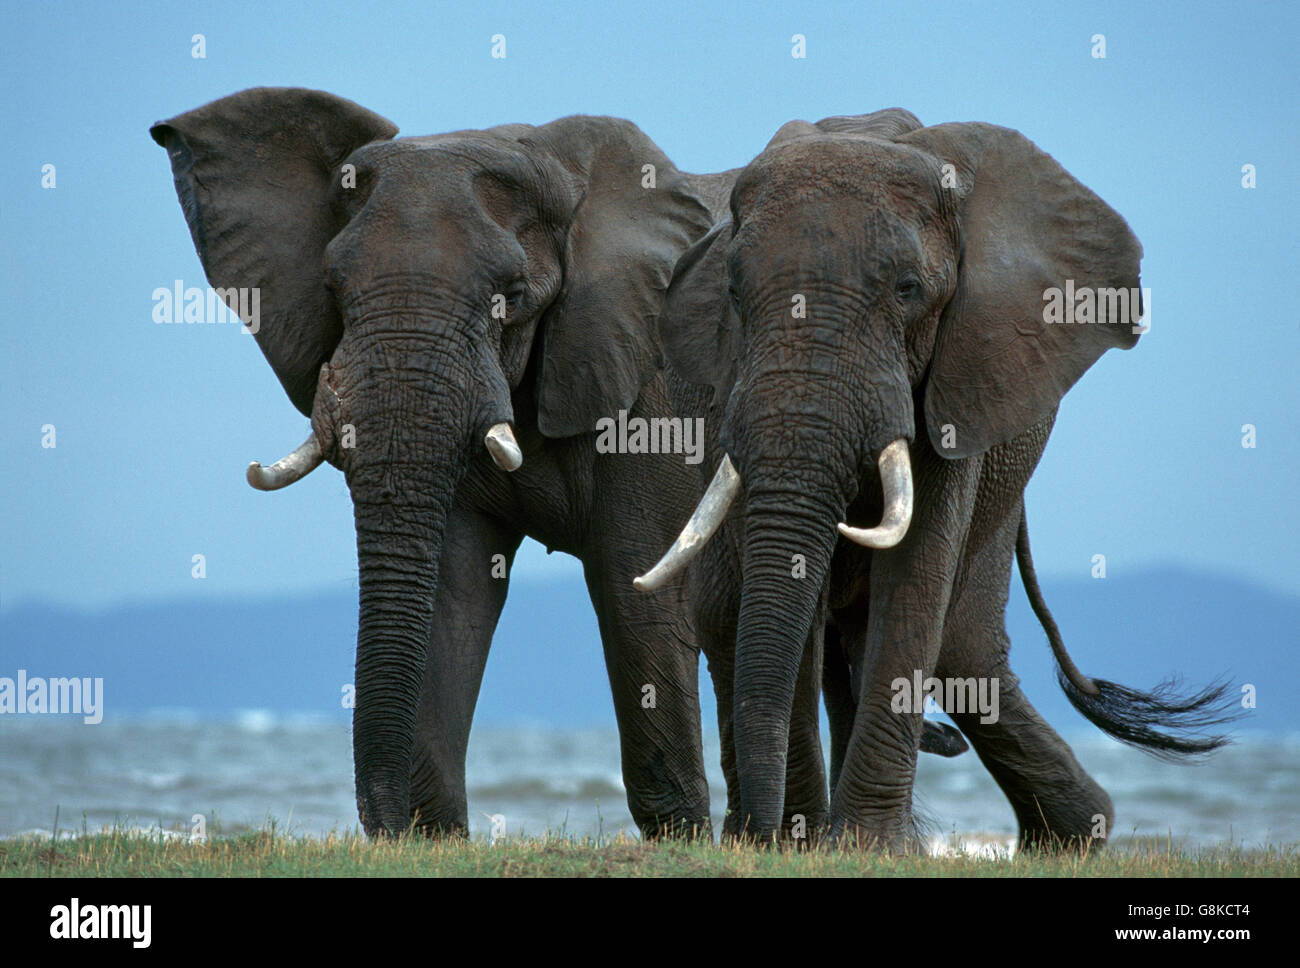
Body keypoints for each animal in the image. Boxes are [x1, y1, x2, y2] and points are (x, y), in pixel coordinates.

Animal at [150, 85, 743, 836]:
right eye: (333, 289)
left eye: (509, 296)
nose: (389, 829)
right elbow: (454, 594)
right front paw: (434, 836)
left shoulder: (651, 395)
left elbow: (638, 594)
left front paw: (680, 835)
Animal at [639, 105, 1237, 847]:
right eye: (733, 293)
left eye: (909, 291)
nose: (773, 834)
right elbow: (781, 589)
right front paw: (814, 843)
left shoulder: (968, 371)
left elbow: (918, 569)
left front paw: (867, 847)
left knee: (963, 649)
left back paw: (1075, 835)